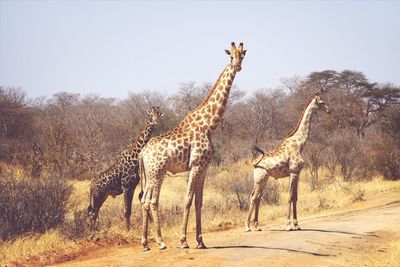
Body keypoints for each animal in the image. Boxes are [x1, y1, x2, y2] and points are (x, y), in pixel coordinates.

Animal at [140, 42, 247, 251]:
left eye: (243, 55)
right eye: (231, 56)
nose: (238, 66)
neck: (209, 125)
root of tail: (142, 153)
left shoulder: (204, 167)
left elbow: (199, 201)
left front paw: (200, 241)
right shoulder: (195, 165)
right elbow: (188, 199)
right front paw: (183, 240)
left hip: (149, 174)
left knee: (144, 201)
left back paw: (145, 243)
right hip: (158, 172)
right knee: (153, 201)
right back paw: (161, 242)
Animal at [245, 93, 330, 232]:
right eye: (322, 102)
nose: (329, 110)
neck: (300, 143)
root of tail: (254, 163)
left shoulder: (296, 173)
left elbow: (295, 196)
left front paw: (296, 224)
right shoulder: (294, 171)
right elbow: (290, 197)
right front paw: (289, 225)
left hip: (264, 179)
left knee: (257, 197)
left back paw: (257, 226)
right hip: (260, 178)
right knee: (253, 197)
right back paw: (247, 226)